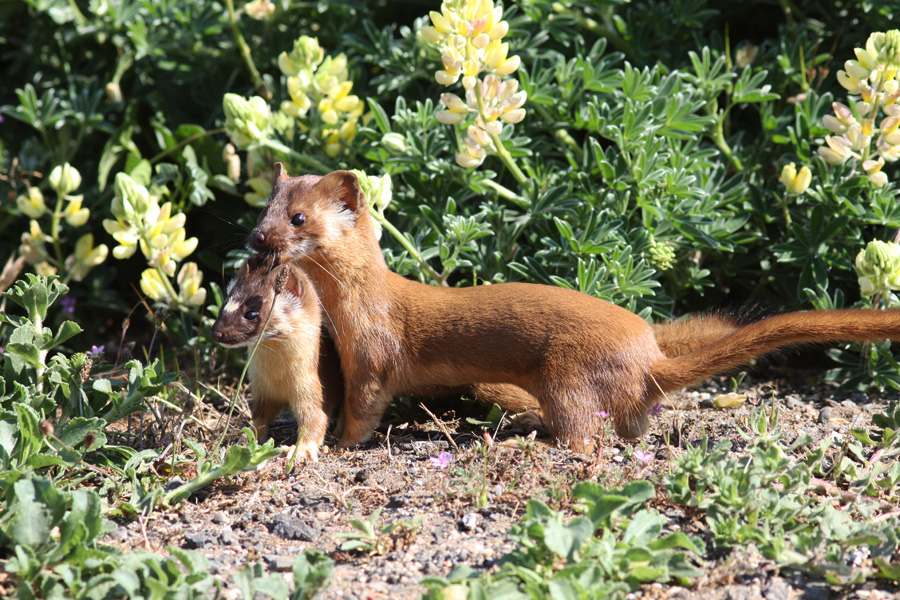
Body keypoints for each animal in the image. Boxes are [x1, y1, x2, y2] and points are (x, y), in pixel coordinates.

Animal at [213, 255, 540, 458]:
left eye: (252, 311)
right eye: (225, 303)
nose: (217, 332)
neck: (277, 376)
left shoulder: (312, 387)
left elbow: (315, 420)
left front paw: (300, 451)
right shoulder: (260, 391)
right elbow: (258, 420)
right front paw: (241, 438)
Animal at [250, 166, 900, 452]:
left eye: (299, 218)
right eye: (264, 209)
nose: (258, 238)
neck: (354, 305)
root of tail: (648, 356)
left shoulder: (374, 355)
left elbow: (363, 408)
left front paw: (338, 444)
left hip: (567, 375)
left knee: (583, 437)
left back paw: (528, 439)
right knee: (630, 425)